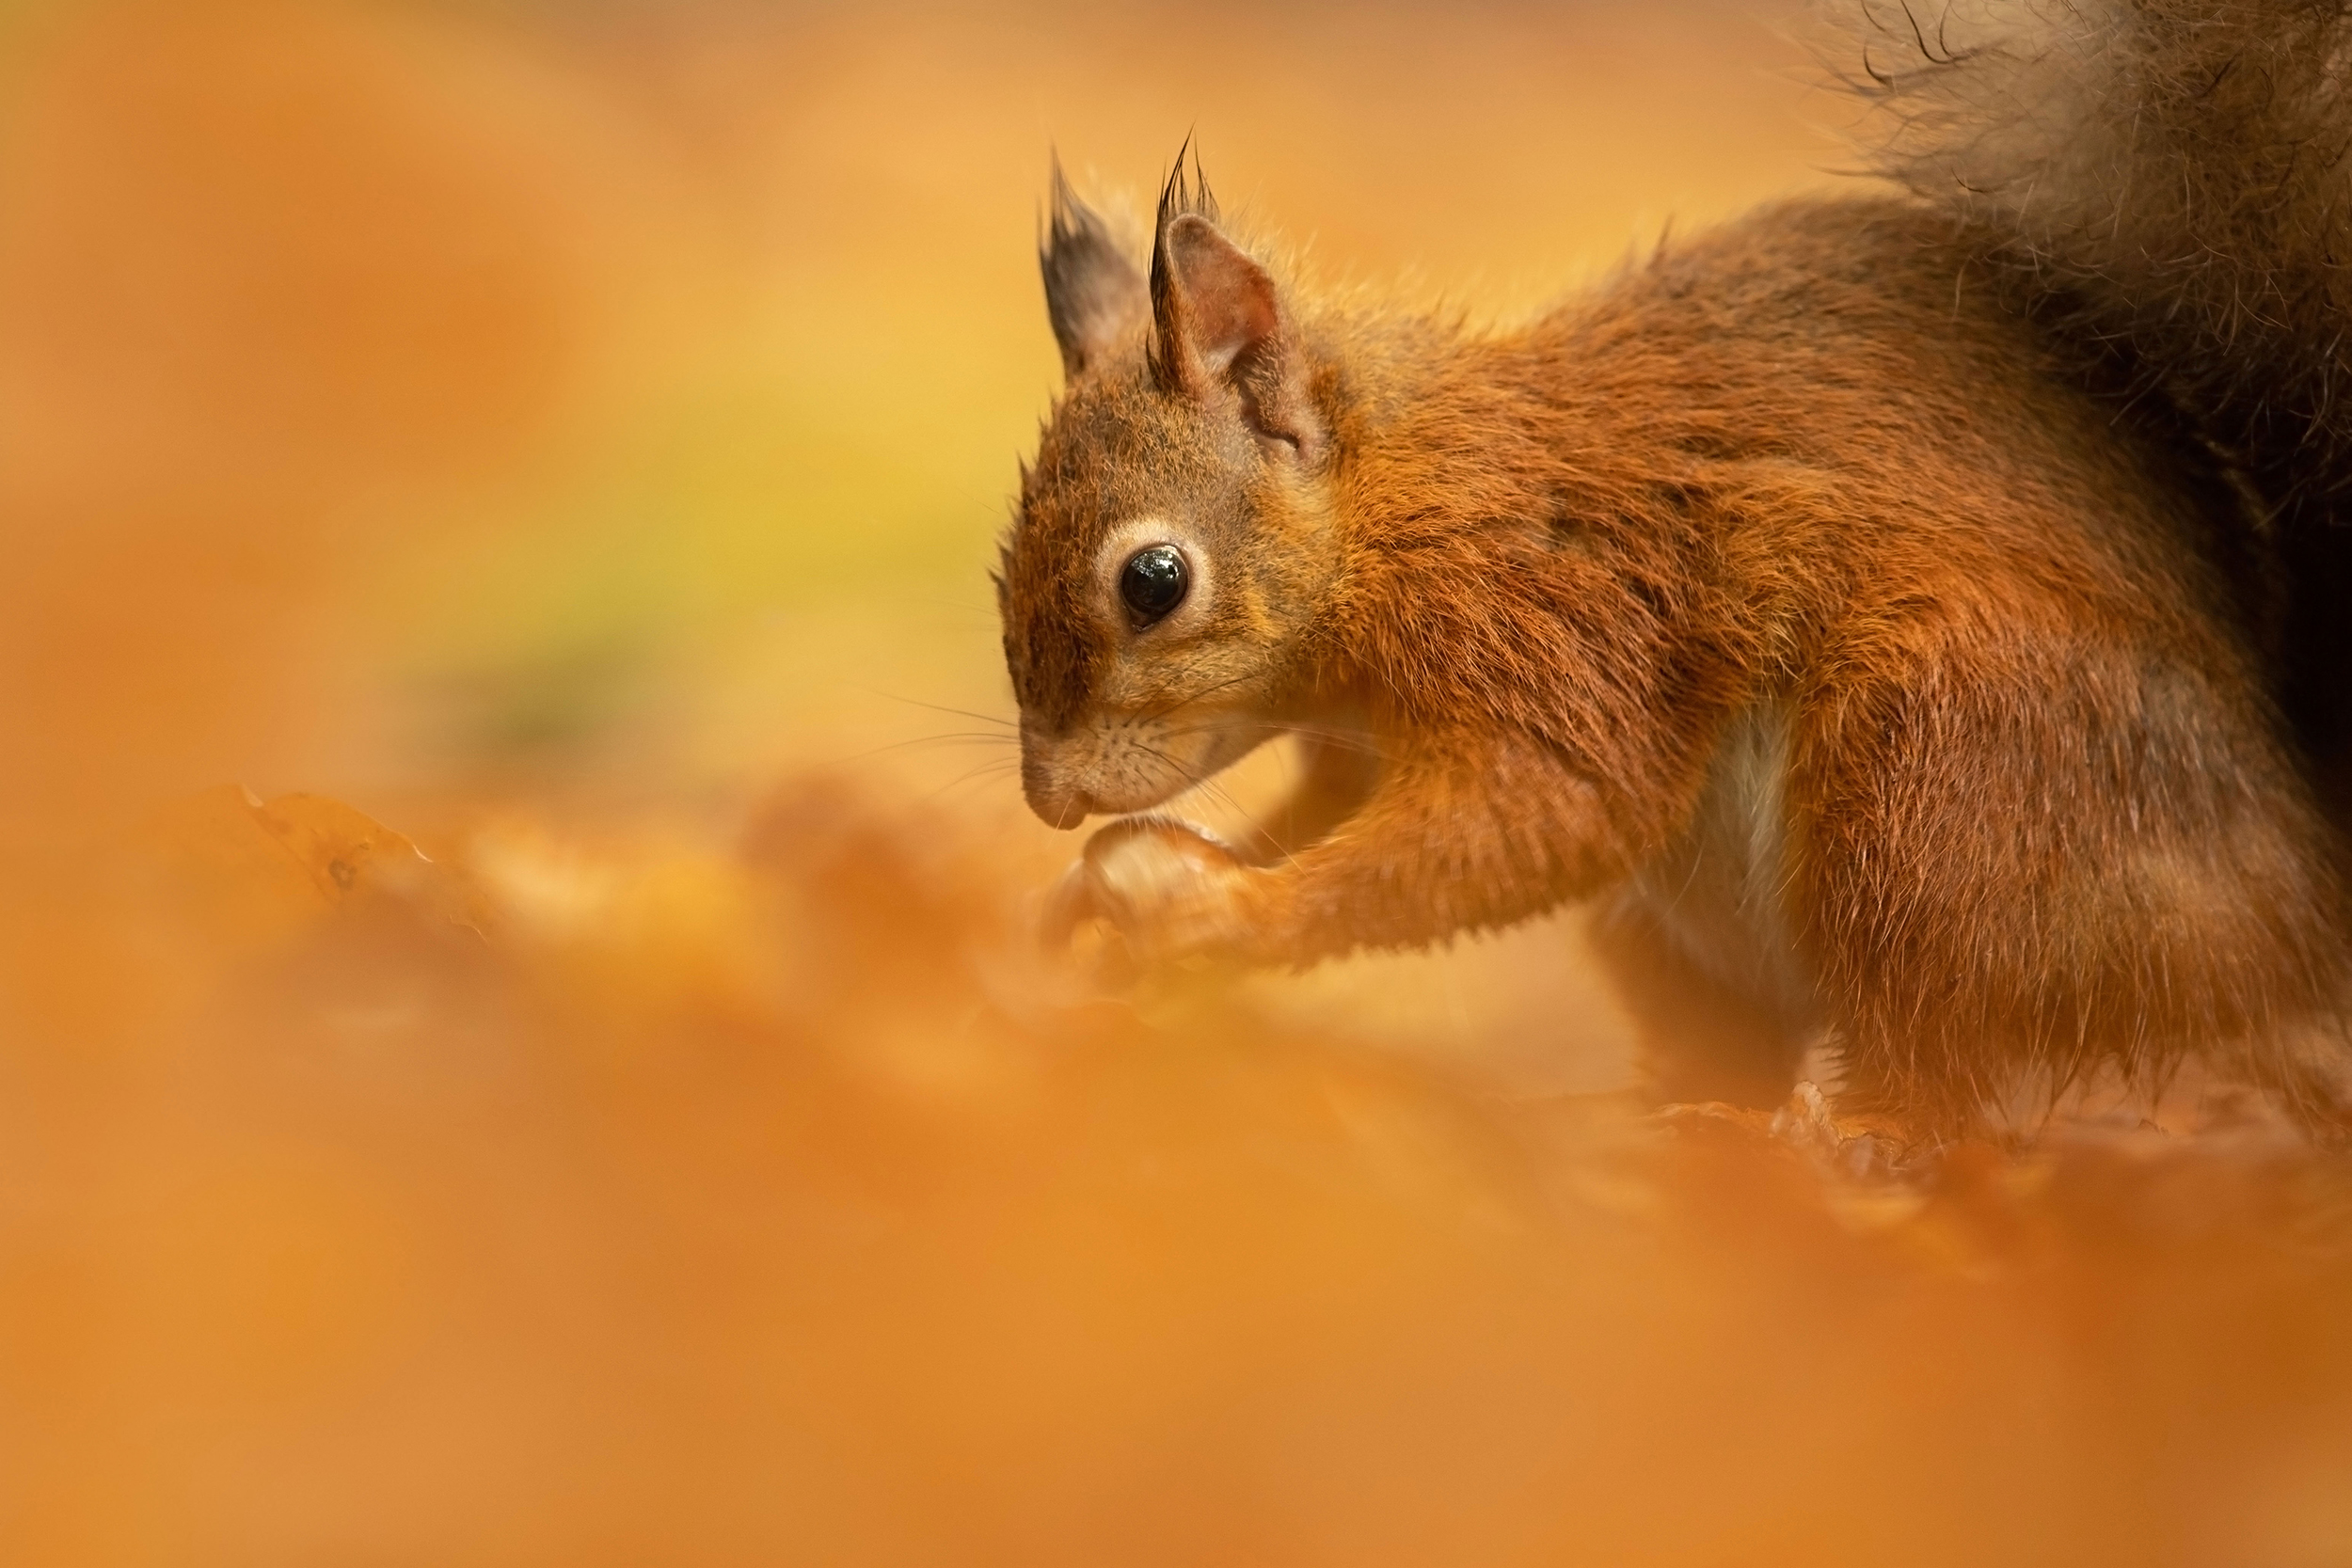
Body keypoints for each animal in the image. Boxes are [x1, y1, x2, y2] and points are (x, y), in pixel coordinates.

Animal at [988, 6, 2352, 1147]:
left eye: (1153, 580)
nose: (1049, 800)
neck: (1389, 505)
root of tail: (2300, 922)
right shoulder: (1360, 736)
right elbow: (1334, 799)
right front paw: (1112, 886)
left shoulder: (1553, 611)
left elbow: (1553, 803)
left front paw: (1217, 910)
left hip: (1939, 767)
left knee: (1954, 1067)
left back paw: (1842, 1128)